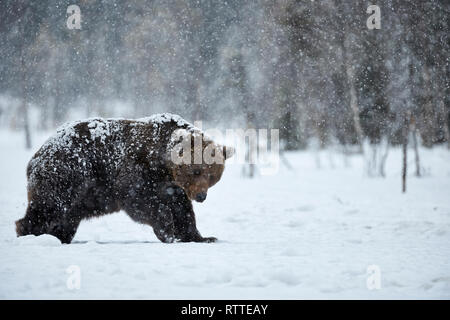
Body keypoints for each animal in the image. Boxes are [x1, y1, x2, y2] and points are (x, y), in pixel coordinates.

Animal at [15, 114, 234, 244]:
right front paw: (167, 229)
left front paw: (203, 237)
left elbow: (183, 210)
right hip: (68, 173)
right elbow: (140, 200)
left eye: (213, 176)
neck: (162, 165)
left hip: (81, 197)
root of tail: (37, 154)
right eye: (196, 171)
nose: (201, 196)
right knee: (49, 206)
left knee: (65, 218)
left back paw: (58, 237)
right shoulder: (136, 170)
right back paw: (30, 233)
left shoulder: (173, 187)